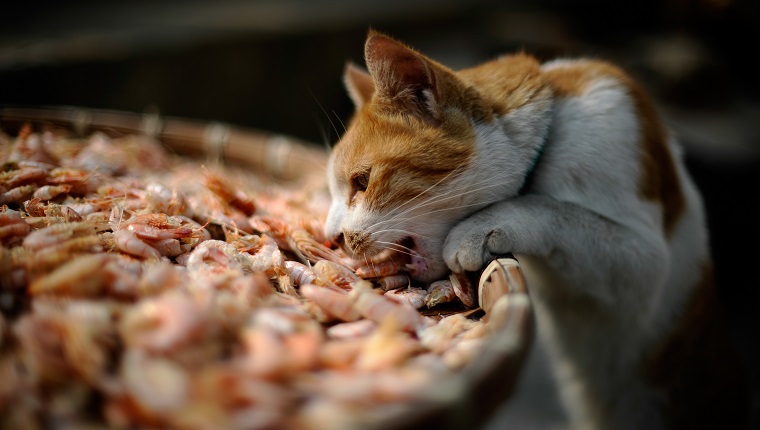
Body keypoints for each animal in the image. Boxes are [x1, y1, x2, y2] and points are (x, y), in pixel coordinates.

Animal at [324, 30, 752, 430]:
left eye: (362, 182)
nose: (334, 237)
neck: (555, 133)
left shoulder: (644, 265)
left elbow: (550, 207)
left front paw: (476, 230)